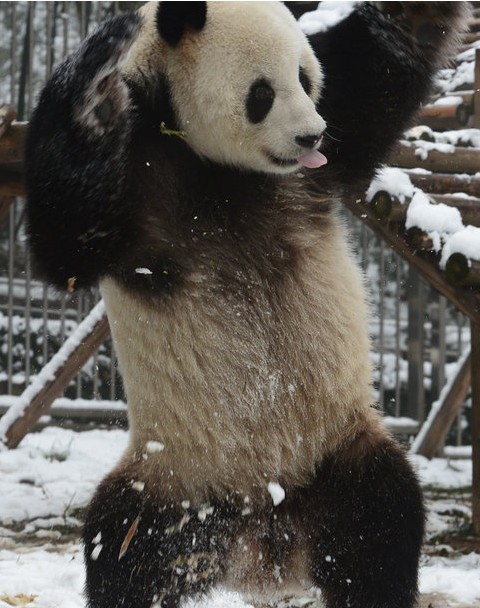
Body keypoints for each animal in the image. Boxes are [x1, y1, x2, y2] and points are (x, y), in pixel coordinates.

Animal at [25, 1, 468, 608]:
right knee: (124, 550)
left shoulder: (327, 149)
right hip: (173, 479)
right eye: (262, 93)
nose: (311, 135)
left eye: (305, 78)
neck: (221, 167)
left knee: (381, 523)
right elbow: (66, 240)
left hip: (338, 450)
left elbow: (395, 46)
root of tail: (265, 546)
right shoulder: (137, 186)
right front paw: (99, 82)